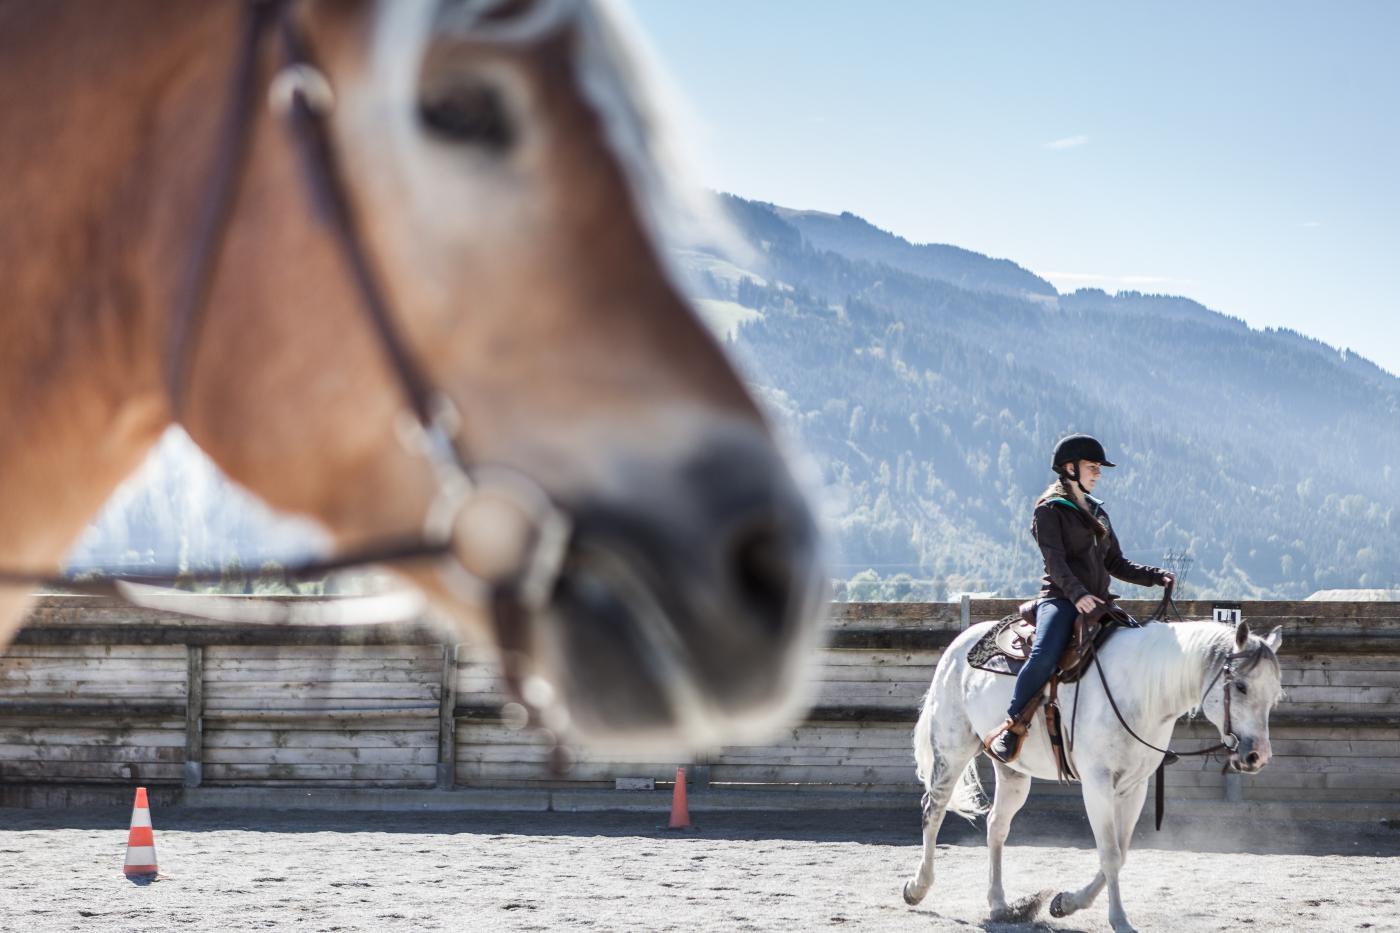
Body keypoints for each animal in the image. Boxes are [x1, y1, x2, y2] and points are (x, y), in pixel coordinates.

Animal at [902, 617, 1284, 933]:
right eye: (1241, 687)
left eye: (1275, 694)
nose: (1257, 756)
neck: (1141, 688)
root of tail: (959, 645)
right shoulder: (1098, 783)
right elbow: (1110, 853)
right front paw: (1119, 920)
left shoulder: (1134, 787)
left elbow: (1122, 851)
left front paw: (1064, 903)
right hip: (951, 750)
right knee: (933, 811)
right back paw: (917, 888)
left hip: (1011, 771)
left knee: (996, 825)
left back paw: (999, 905)